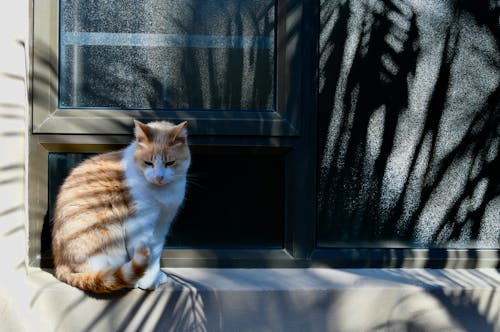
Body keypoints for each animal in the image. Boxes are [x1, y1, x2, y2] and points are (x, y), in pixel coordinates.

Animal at [51, 120, 190, 294]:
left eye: (170, 163)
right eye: (148, 163)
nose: (159, 177)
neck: (161, 194)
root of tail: (60, 265)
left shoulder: (162, 224)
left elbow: (155, 256)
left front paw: (153, 278)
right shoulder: (138, 224)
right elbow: (144, 256)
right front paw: (147, 281)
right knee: (103, 275)